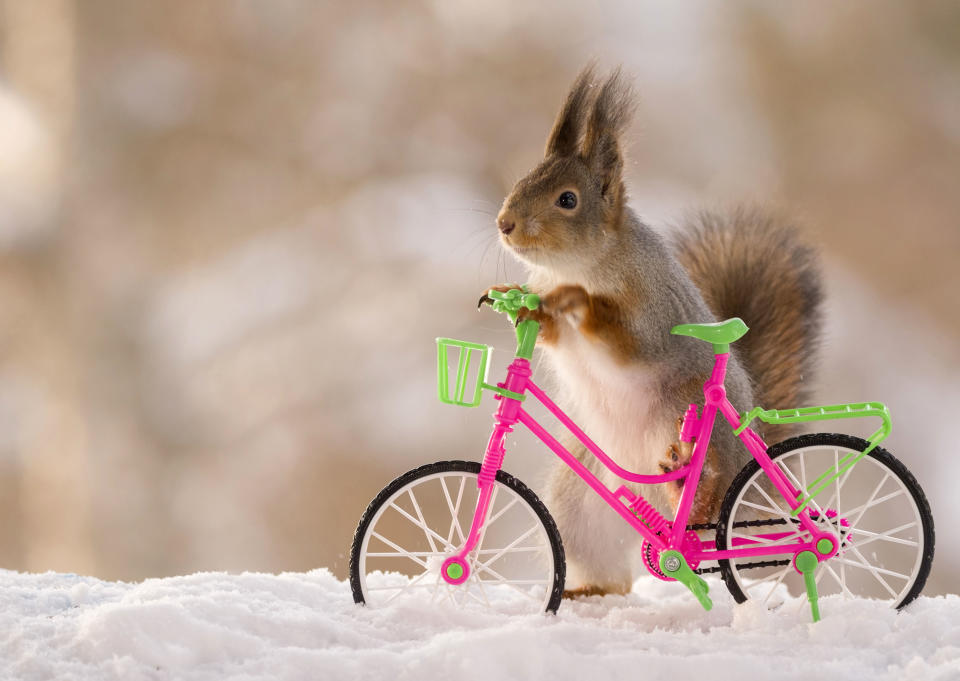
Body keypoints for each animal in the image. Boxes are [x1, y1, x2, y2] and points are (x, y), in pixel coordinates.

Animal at [488, 63, 824, 596]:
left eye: (568, 200)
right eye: (522, 180)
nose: (505, 223)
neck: (578, 265)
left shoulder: (653, 311)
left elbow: (629, 343)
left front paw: (579, 303)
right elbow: (552, 334)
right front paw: (521, 307)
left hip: (686, 420)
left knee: (703, 508)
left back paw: (693, 489)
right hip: (578, 499)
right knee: (613, 573)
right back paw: (590, 588)